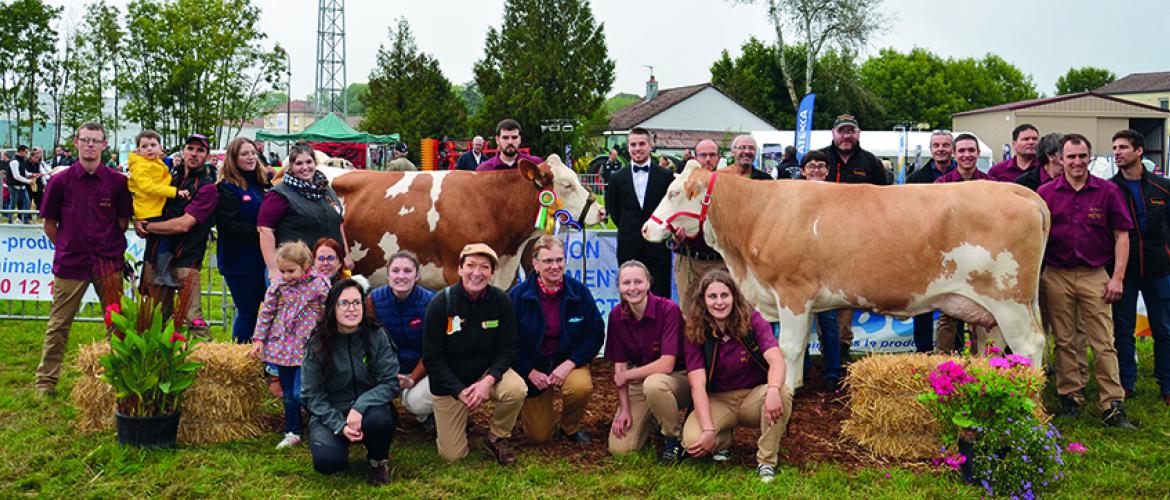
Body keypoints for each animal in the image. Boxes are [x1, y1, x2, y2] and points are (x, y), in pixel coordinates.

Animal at [641, 162, 1053, 388]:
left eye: (674, 192)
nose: (647, 229)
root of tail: (1018, 192)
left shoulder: (792, 292)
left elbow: (789, 347)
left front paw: (784, 393)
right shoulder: (802, 300)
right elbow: (800, 347)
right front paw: (797, 384)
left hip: (1010, 300)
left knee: (1030, 346)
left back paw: (1030, 401)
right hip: (998, 307)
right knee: (1001, 349)